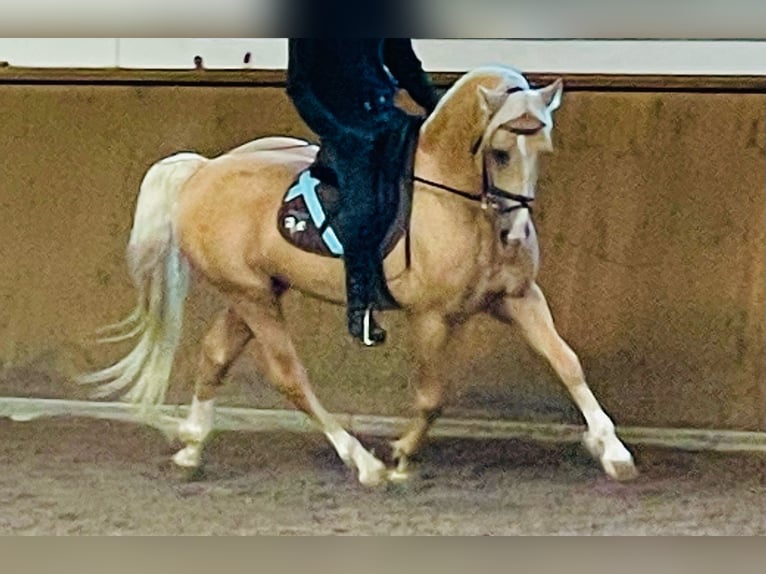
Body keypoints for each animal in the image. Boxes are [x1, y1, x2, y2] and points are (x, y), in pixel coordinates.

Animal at [79, 65, 637, 486]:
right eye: (499, 153)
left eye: (543, 151)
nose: (515, 234)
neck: (458, 202)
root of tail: (202, 171)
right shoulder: (431, 317)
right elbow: (432, 395)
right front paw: (402, 455)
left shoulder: (519, 297)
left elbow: (566, 362)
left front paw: (612, 451)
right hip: (253, 296)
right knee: (289, 376)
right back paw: (363, 463)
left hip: (256, 291)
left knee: (216, 353)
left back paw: (192, 449)